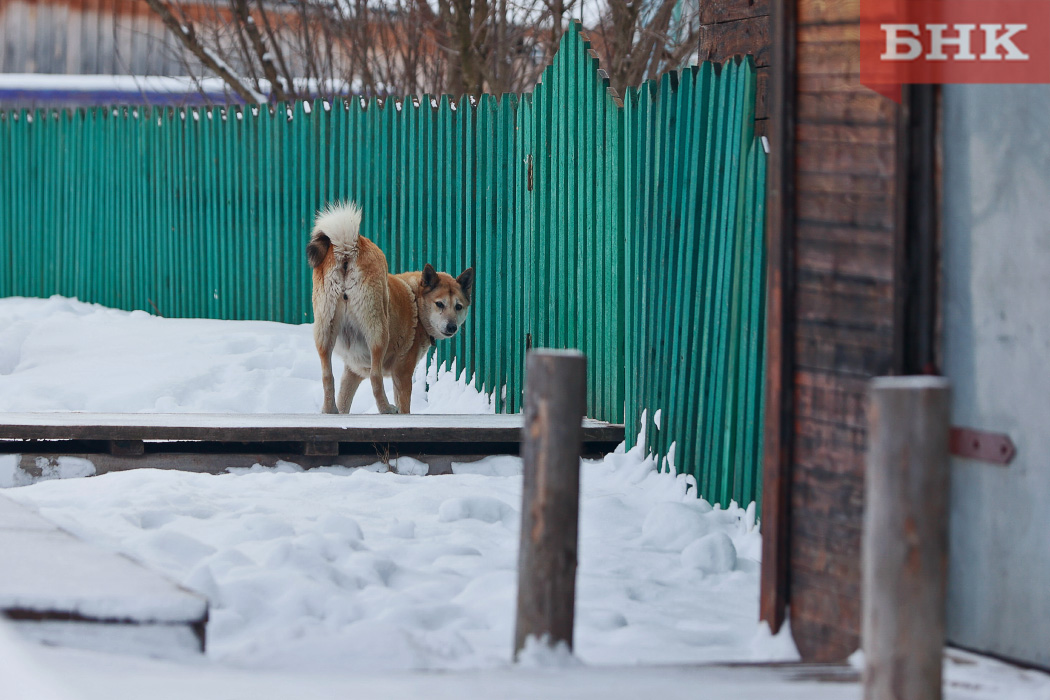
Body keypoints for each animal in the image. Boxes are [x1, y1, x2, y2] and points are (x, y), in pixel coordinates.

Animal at [306, 199, 474, 413]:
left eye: (458, 307)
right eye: (439, 304)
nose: (451, 327)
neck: (417, 303)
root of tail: (348, 248)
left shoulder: (353, 371)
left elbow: (344, 400)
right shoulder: (402, 373)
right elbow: (404, 406)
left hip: (325, 332)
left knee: (327, 377)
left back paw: (329, 411)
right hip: (378, 332)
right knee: (375, 378)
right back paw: (386, 408)